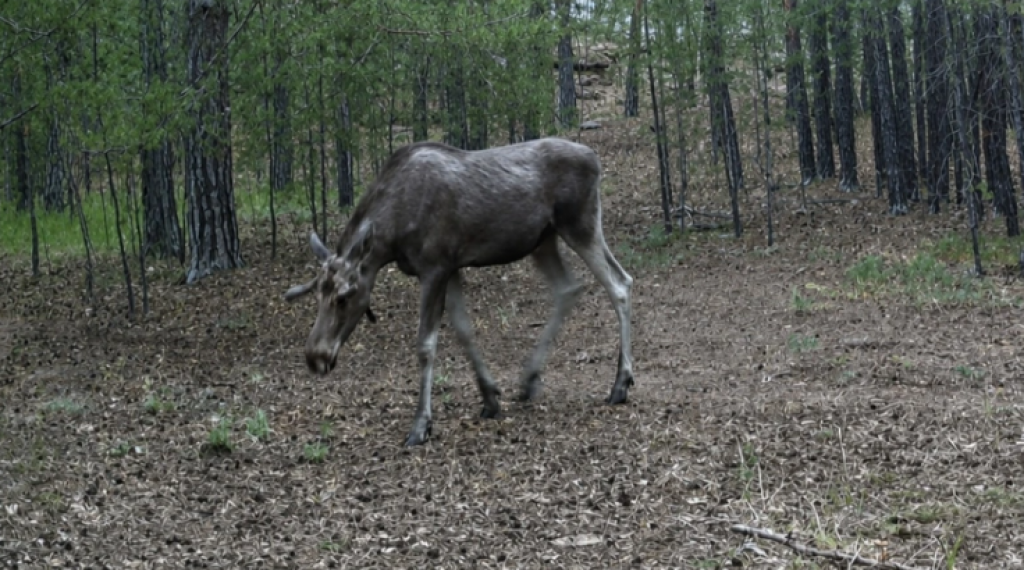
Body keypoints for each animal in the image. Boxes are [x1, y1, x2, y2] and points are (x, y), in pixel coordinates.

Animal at [283, 137, 635, 446]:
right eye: (317, 296)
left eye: (344, 297)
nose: (315, 358)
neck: (391, 237)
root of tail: (595, 159)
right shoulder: (450, 269)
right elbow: (463, 330)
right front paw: (490, 398)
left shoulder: (434, 268)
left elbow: (426, 345)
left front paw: (421, 425)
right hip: (543, 240)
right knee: (570, 287)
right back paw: (530, 378)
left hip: (580, 224)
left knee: (620, 284)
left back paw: (620, 384)